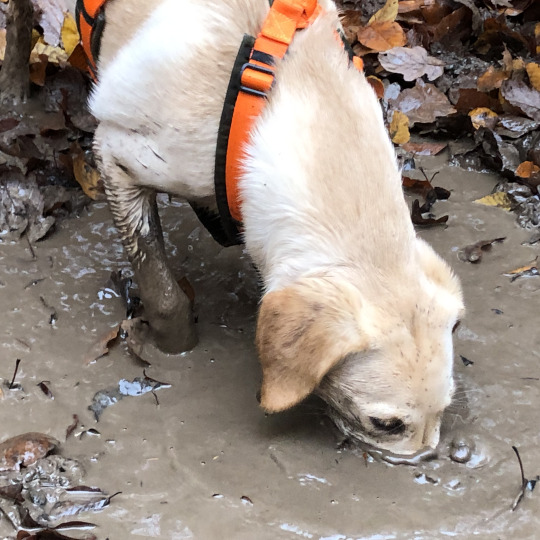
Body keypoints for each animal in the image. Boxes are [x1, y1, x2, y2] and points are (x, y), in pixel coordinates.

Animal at [87, 0, 464, 456]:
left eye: (444, 411)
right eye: (386, 424)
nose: (427, 460)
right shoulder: (116, 154)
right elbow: (164, 294)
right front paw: (172, 348)